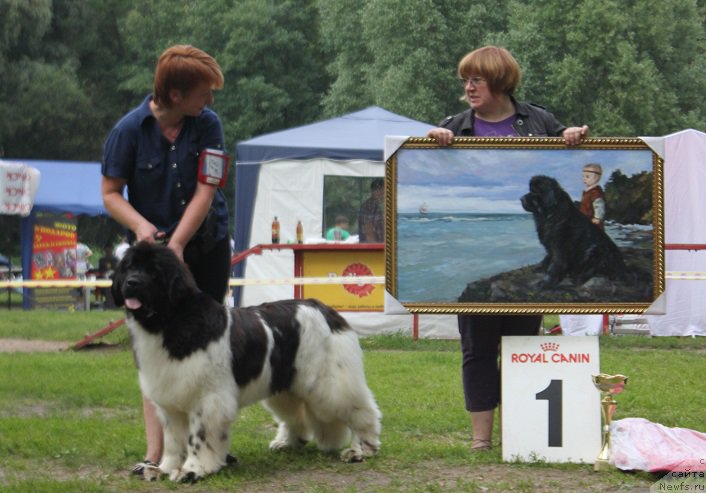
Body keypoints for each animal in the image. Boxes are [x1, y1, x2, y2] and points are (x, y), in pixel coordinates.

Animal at [113, 242, 382, 480]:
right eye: (129, 267)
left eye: (153, 271)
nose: (131, 283)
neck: (172, 321)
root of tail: (326, 310)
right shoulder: (171, 401)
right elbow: (173, 439)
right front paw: (164, 469)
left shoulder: (207, 400)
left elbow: (198, 437)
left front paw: (193, 470)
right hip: (285, 384)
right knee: (296, 415)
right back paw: (287, 442)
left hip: (329, 383)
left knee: (361, 410)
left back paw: (361, 449)